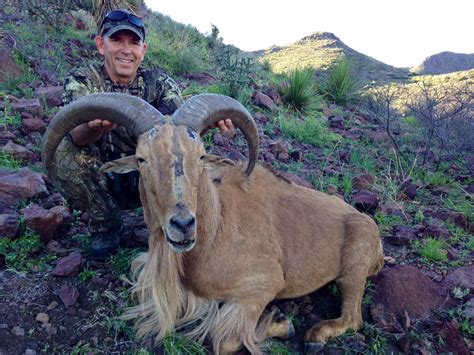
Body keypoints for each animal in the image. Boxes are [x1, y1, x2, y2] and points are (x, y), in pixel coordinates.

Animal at [41, 93, 386, 354]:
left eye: (201, 155)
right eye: (141, 159)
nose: (182, 225)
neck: (214, 231)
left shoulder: (263, 284)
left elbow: (225, 340)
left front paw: (281, 323)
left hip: (353, 267)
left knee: (353, 316)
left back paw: (315, 336)